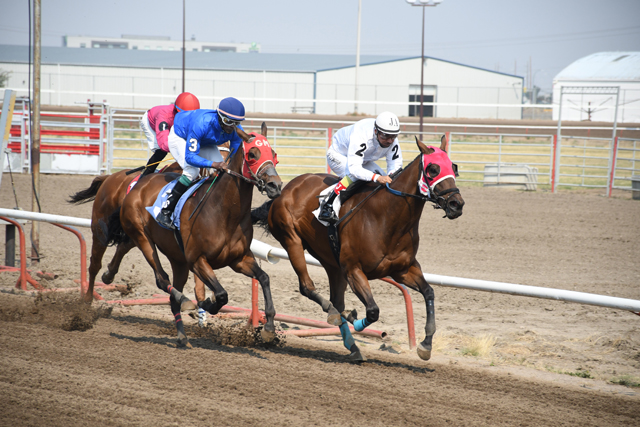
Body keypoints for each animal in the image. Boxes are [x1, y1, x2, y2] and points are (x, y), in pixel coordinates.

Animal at [106, 127, 282, 348]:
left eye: (273, 154)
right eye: (252, 154)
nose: (275, 186)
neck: (224, 212)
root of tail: (140, 183)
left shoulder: (239, 259)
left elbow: (264, 278)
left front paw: (268, 328)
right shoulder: (198, 260)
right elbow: (221, 295)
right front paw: (207, 303)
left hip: (178, 260)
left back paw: (181, 336)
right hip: (143, 237)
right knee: (161, 279)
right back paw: (185, 301)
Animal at [251, 135, 464, 362]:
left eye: (453, 166)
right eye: (433, 169)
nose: (456, 204)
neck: (387, 217)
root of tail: (286, 188)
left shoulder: (403, 270)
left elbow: (429, 292)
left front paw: (426, 345)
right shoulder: (354, 270)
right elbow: (372, 310)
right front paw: (358, 321)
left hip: (331, 262)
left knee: (336, 300)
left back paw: (351, 344)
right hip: (292, 241)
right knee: (308, 288)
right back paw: (334, 316)